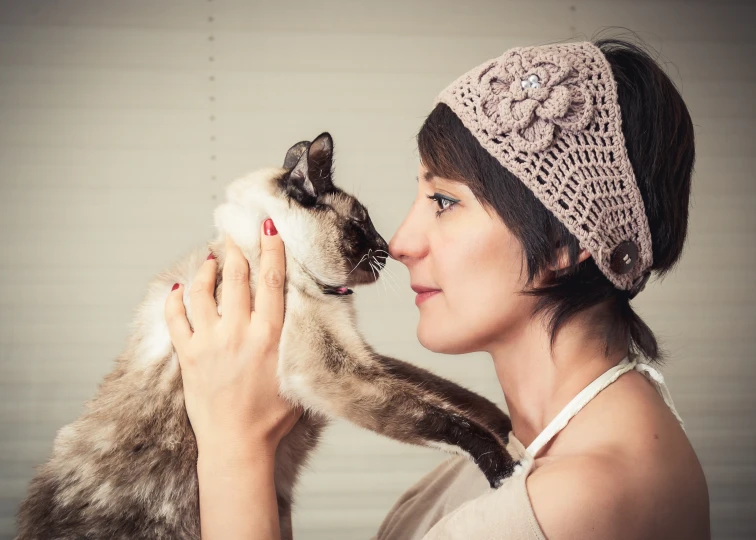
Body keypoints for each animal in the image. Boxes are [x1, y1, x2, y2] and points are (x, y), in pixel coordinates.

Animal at [16, 134, 512, 540]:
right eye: (362, 225)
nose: (388, 249)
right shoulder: (330, 370)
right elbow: (441, 416)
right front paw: (503, 466)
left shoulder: (362, 358)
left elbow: (441, 390)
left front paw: (504, 424)